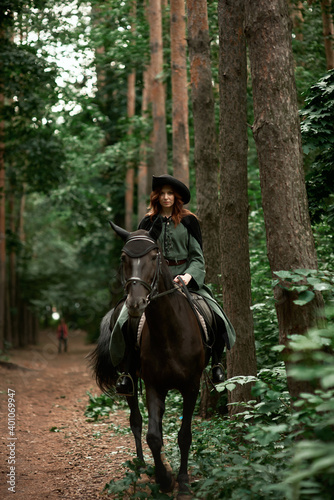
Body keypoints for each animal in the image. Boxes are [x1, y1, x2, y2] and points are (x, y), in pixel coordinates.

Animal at [88, 221, 209, 494]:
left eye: (154, 257)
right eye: (124, 258)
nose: (135, 304)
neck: (170, 333)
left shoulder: (191, 386)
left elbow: (184, 435)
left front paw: (182, 482)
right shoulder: (154, 385)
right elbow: (153, 435)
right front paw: (164, 479)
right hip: (130, 379)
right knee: (136, 420)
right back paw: (143, 466)